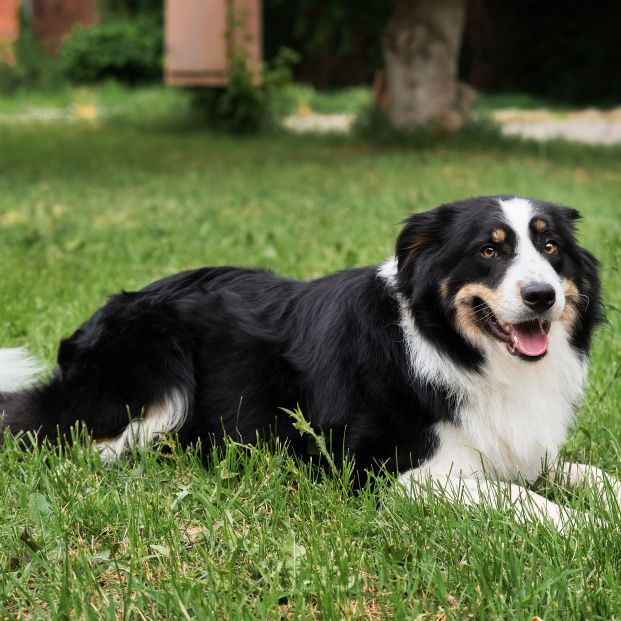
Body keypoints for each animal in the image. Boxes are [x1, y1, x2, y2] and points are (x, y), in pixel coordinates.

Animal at [0, 196, 616, 532]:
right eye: (489, 250)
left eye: (552, 249)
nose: (541, 296)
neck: (455, 347)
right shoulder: (387, 471)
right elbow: (517, 496)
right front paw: (582, 527)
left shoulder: (525, 449)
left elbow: (588, 473)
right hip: (159, 370)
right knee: (81, 444)